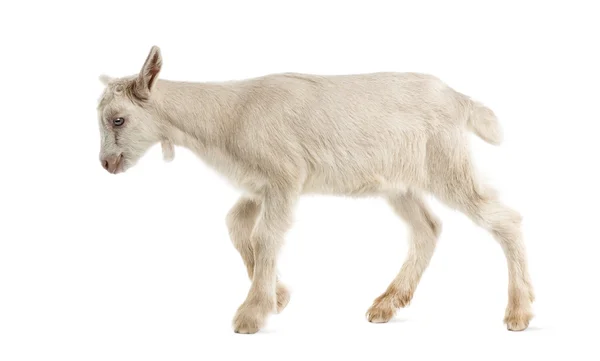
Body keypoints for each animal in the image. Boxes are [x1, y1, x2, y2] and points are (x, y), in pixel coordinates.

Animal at [97, 46, 536, 334]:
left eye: (118, 120)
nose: (105, 164)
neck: (228, 117)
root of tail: (460, 100)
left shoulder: (284, 176)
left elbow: (265, 235)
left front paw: (252, 313)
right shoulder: (259, 184)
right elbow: (236, 225)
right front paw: (279, 296)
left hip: (446, 163)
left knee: (505, 218)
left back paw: (518, 312)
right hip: (399, 181)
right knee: (428, 227)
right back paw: (387, 304)